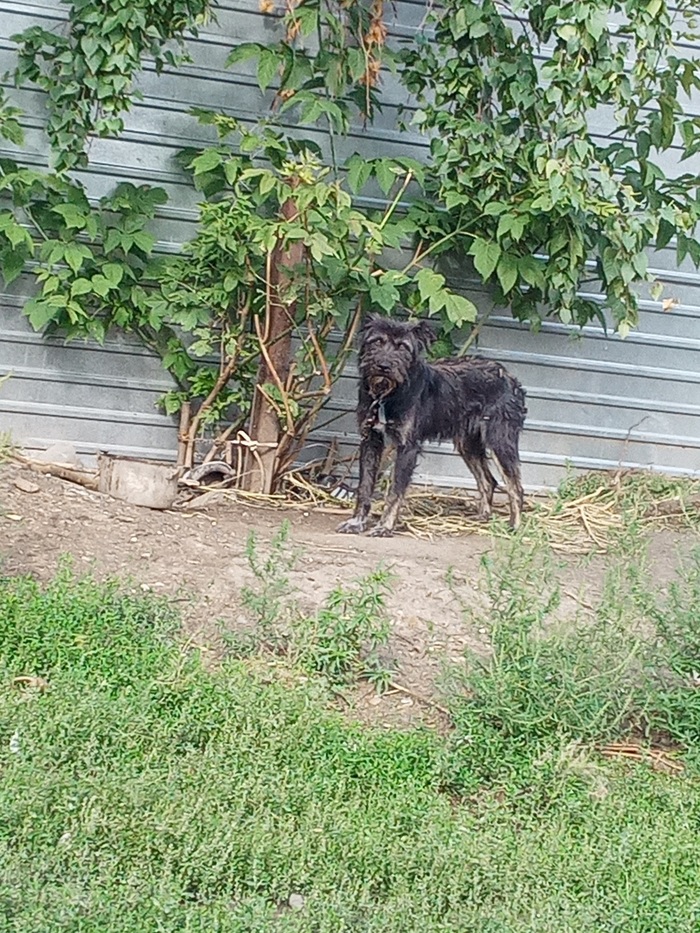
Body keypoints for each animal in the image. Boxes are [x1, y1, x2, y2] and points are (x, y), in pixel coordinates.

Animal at [336, 316, 528, 536]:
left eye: (403, 347)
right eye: (376, 341)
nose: (383, 365)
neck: (386, 395)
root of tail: (509, 378)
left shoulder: (408, 447)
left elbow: (395, 491)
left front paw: (385, 526)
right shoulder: (370, 440)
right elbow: (364, 487)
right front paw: (357, 522)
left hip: (499, 440)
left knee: (515, 487)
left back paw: (515, 526)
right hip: (468, 444)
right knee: (489, 481)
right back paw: (483, 517)